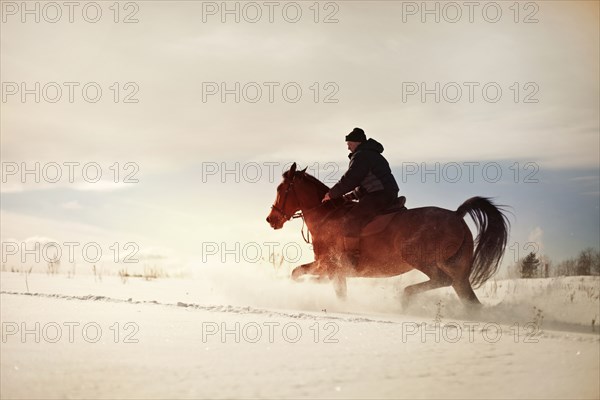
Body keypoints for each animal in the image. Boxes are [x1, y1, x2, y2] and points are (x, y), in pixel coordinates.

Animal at [264, 162, 508, 306]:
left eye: (281, 189)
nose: (271, 219)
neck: (327, 217)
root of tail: (457, 215)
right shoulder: (335, 272)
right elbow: (332, 289)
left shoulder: (328, 264)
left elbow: (297, 273)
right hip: (459, 274)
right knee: (468, 299)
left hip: (420, 259)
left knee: (441, 280)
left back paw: (405, 296)